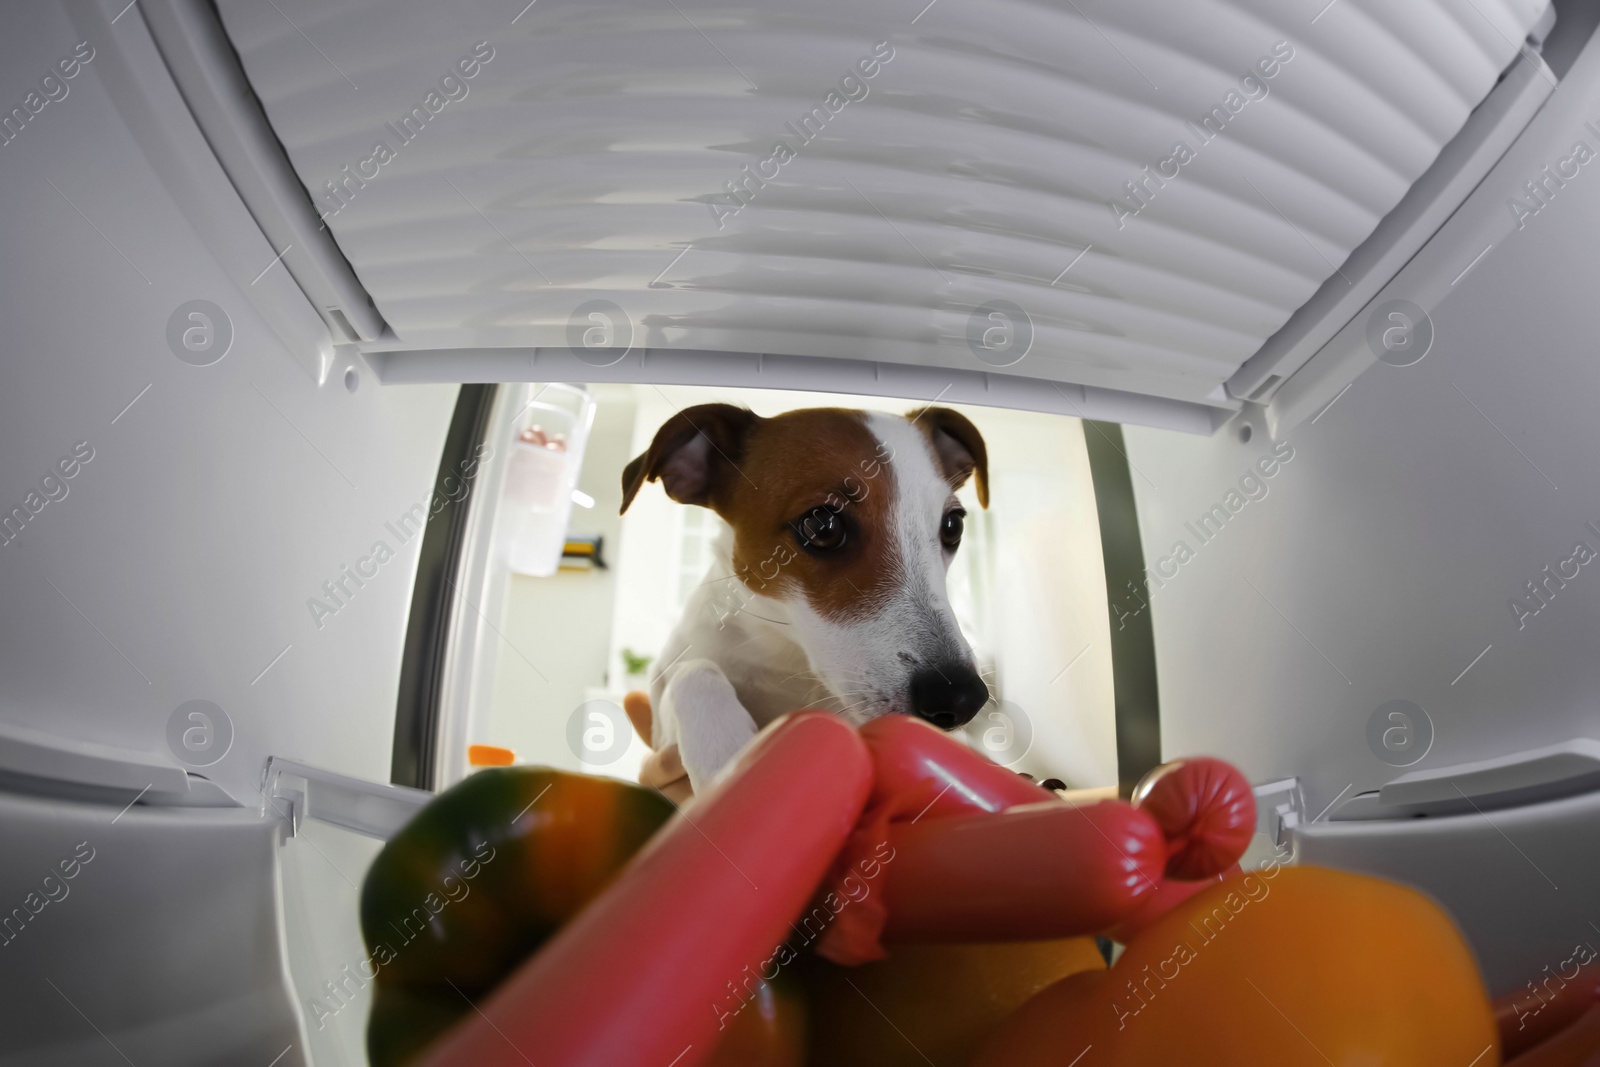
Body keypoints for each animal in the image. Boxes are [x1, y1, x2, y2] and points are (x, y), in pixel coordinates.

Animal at [620, 404, 985, 790]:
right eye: (822, 525)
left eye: (953, 525)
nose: (962, 699)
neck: (786, 655)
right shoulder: (663, 724)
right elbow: (694, 670)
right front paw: (728, 756)